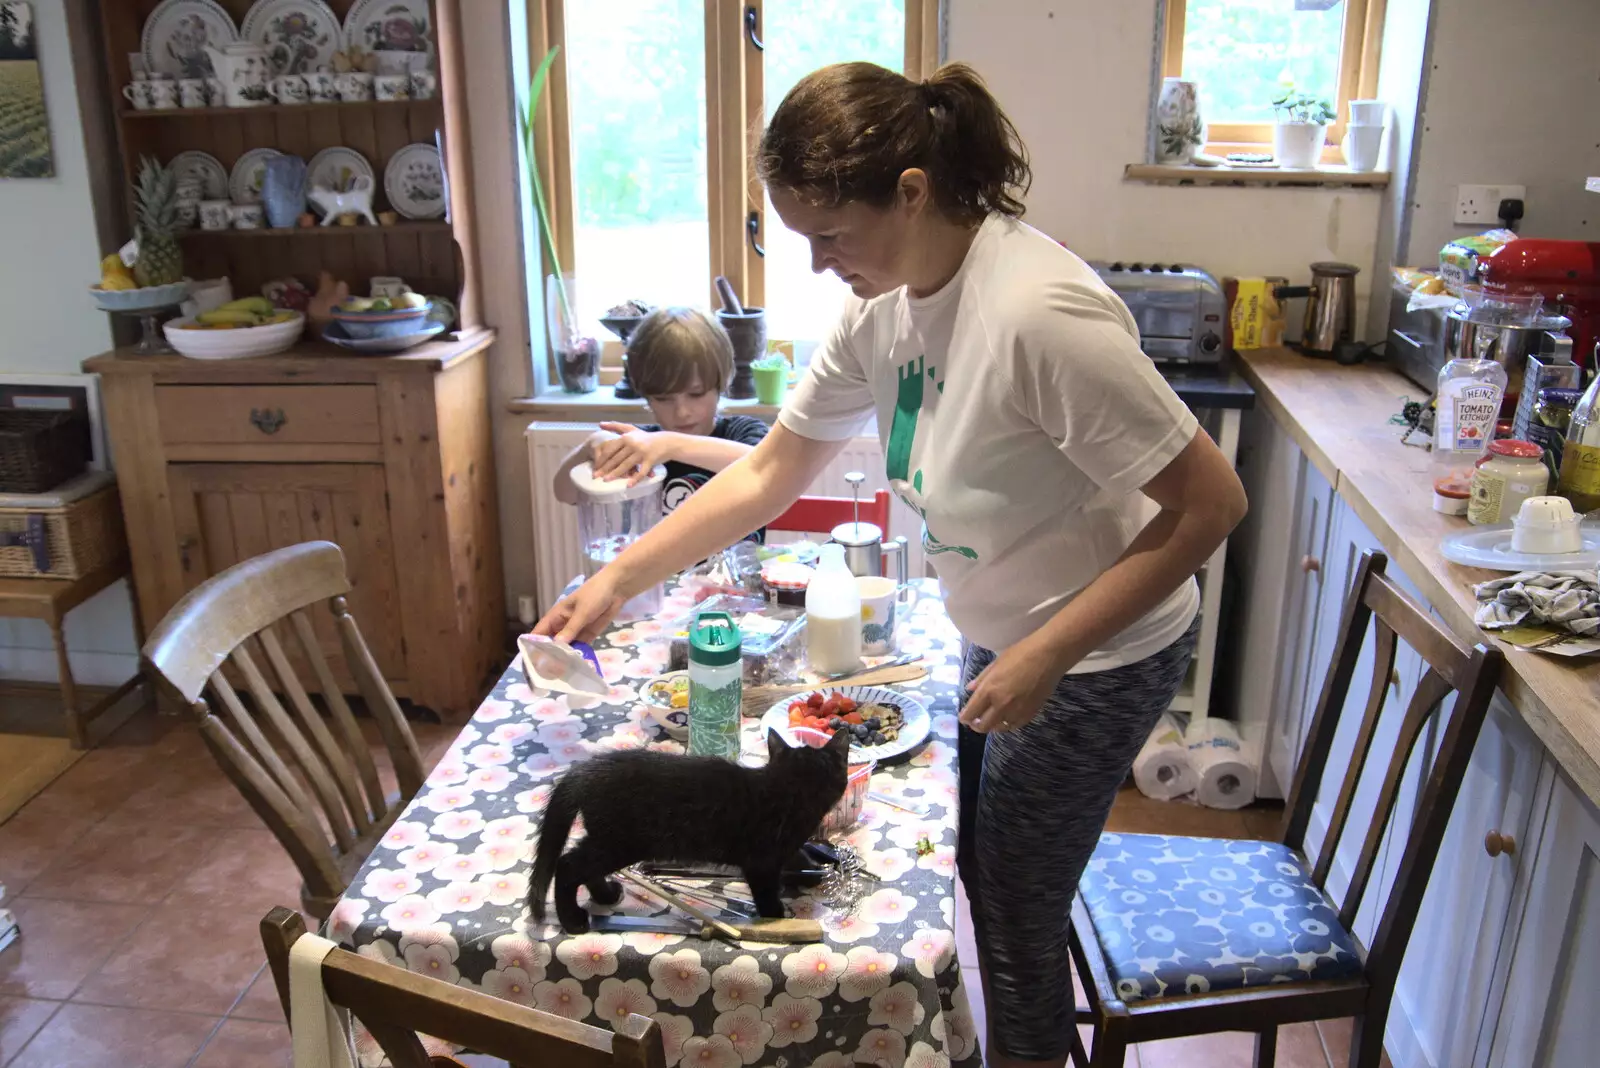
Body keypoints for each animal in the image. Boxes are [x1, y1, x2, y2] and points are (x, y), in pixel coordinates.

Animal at [531, 729, 851, 927]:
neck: (787, 793)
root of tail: (584, 771)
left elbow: (797, 855)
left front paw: (813, 871)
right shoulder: (760, 861)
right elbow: (766, 889)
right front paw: (774, 915)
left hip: (604, 837)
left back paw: (605, 894)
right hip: (620, 842)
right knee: (568, 864)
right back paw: (573, 920)